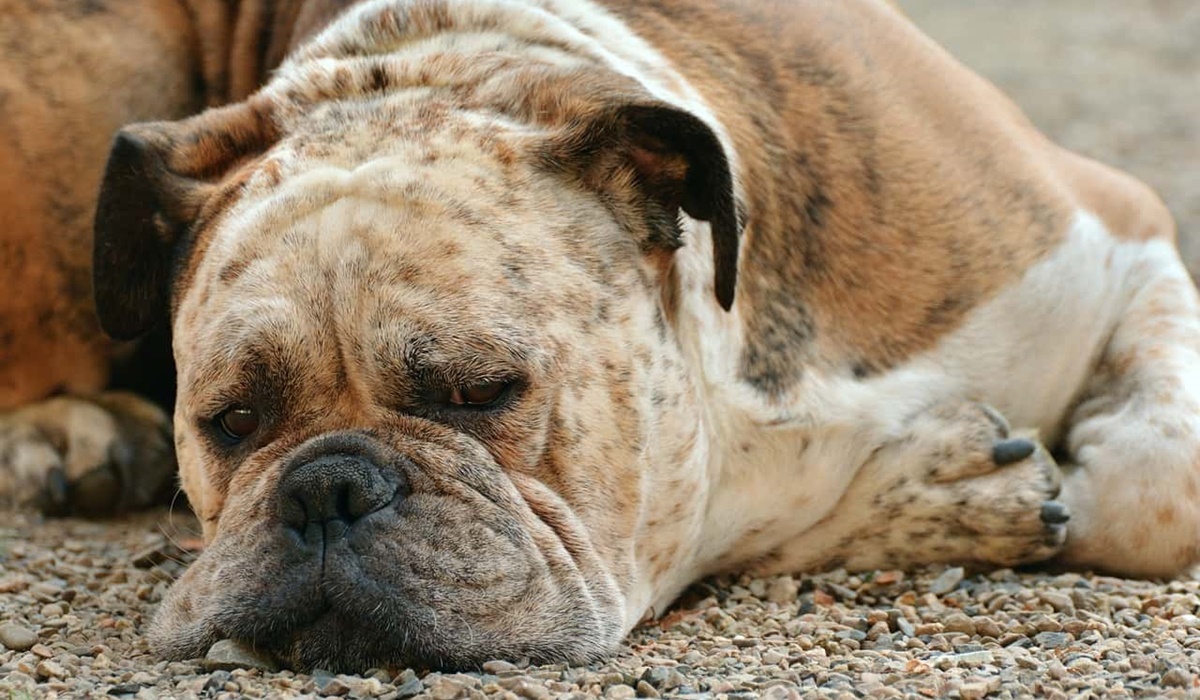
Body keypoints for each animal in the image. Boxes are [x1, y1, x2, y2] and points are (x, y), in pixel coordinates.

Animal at [2, 0, 1200, 672]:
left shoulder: (1117, 237)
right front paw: (940, 486)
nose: (325, 488)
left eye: (481, 391)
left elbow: (1154, 490)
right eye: (231, 420)